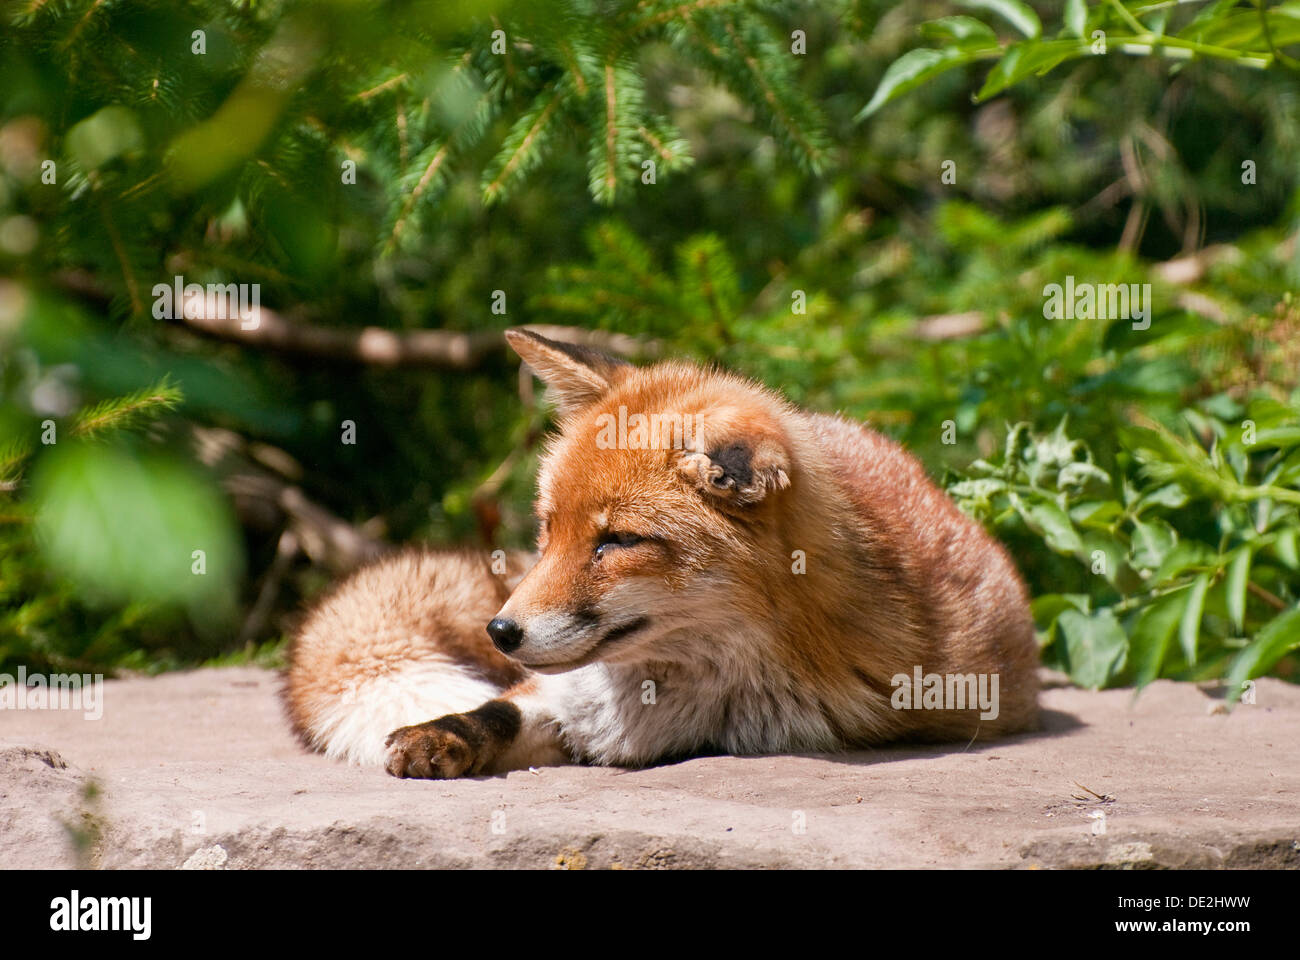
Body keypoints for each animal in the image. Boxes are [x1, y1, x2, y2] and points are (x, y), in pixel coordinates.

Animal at [284, 329, 1034, 780]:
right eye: (549, 529)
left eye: (617, 542)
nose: (501, 631)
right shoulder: (568, 696)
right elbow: (500, 709)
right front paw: (438, 734)